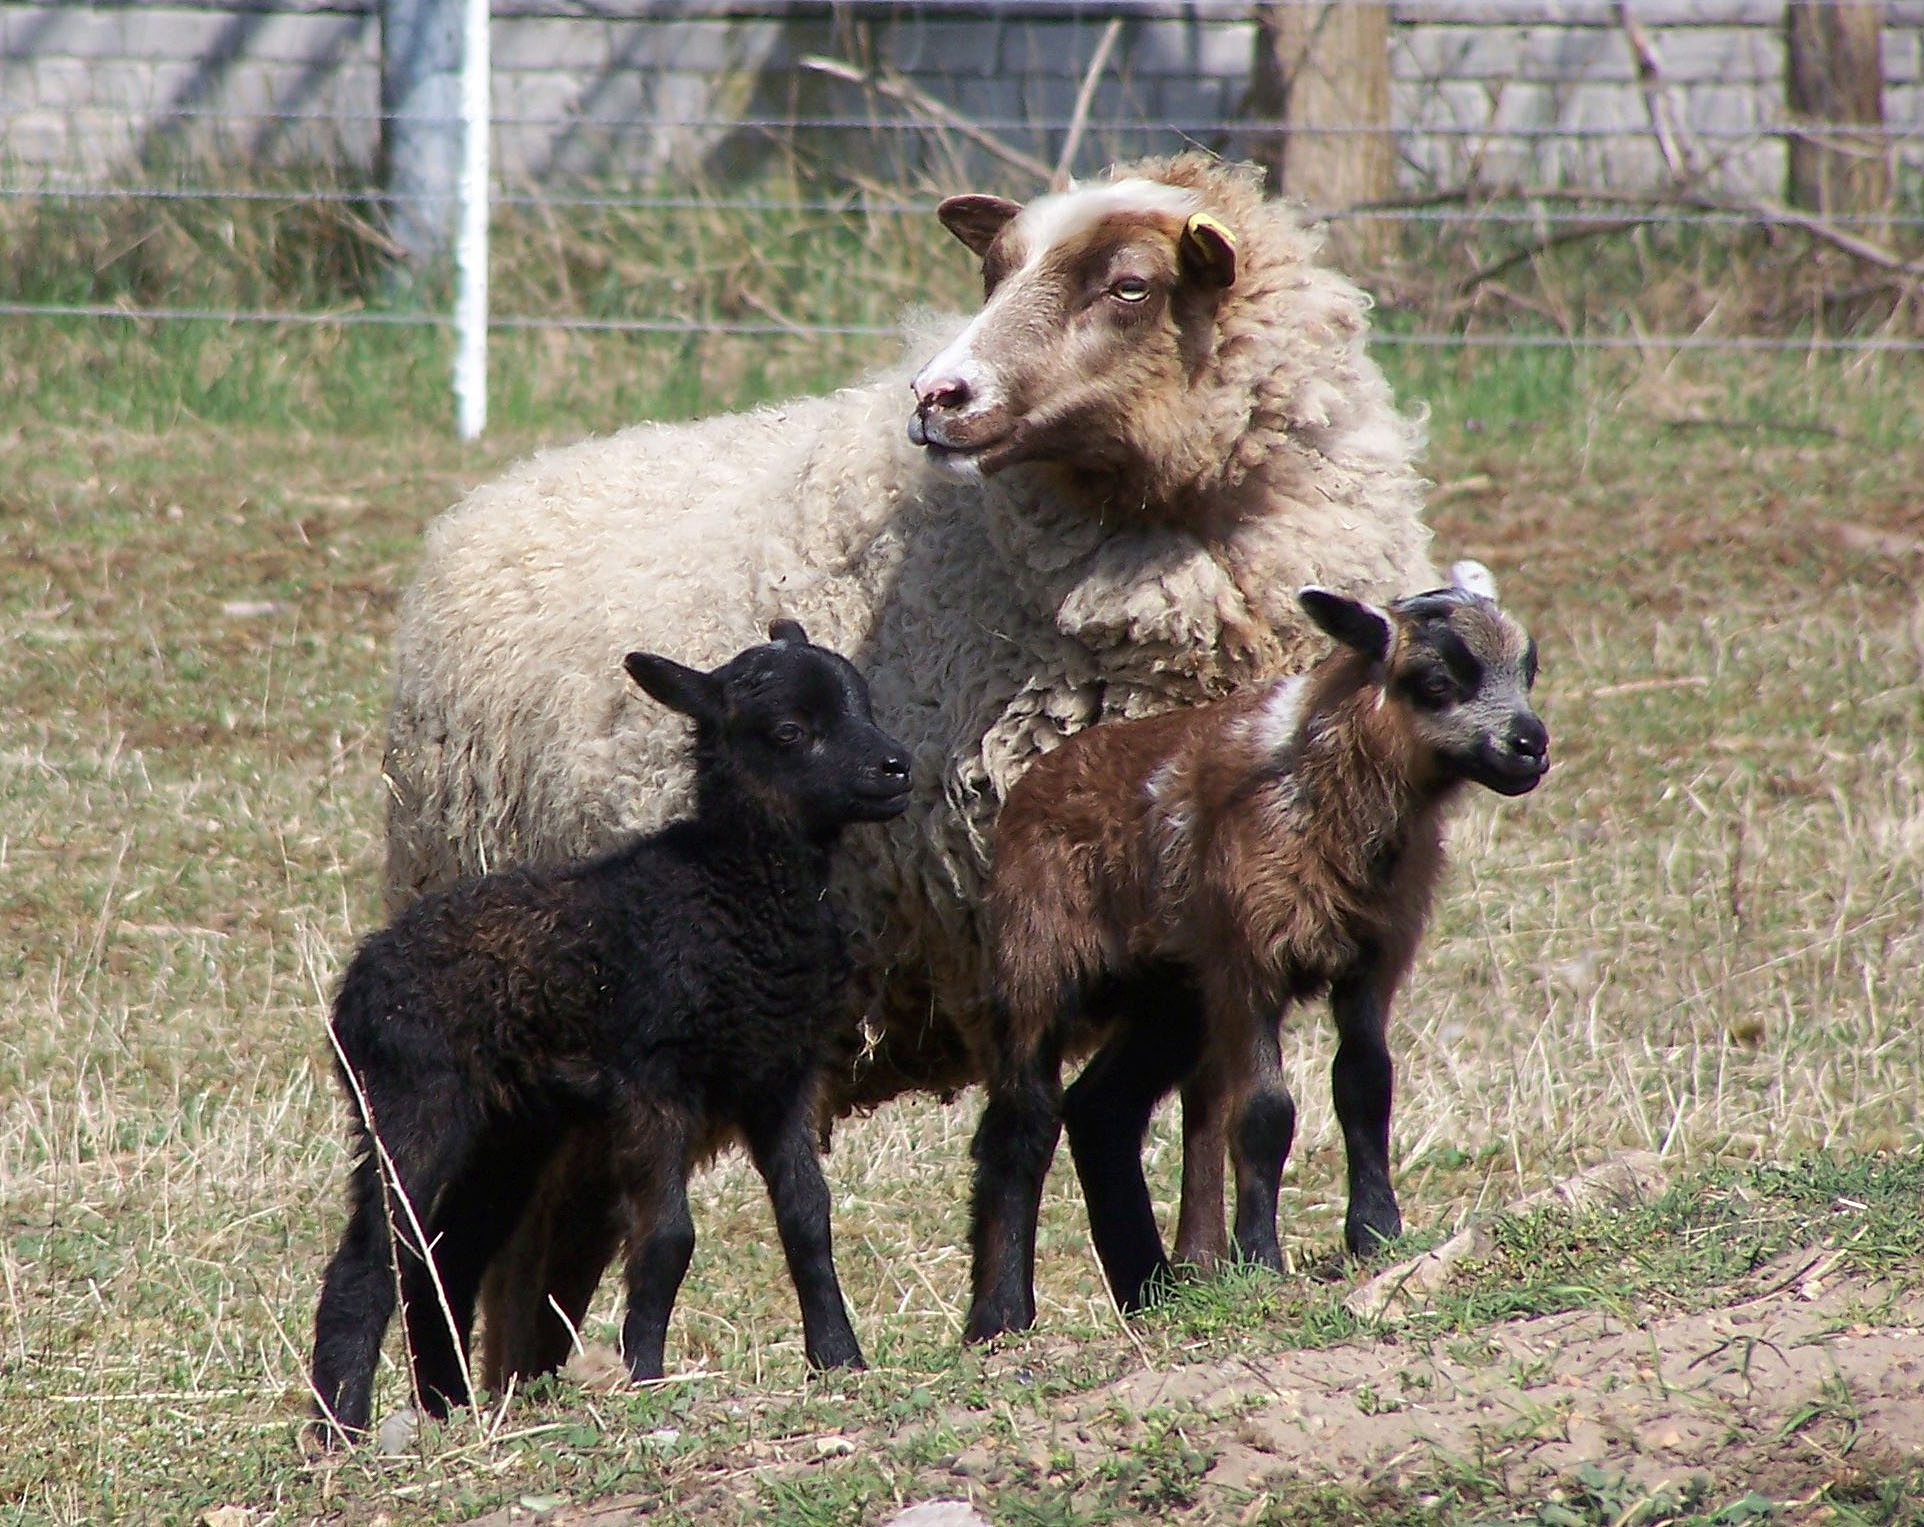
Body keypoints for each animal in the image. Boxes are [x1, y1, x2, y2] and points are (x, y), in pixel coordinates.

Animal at [311, 619, 911, 1438]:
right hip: (407, 1095)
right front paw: (645, 1374)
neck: (732, 893)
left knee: (448, 1256)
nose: (897, 766)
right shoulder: (652, 1077)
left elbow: (807, 1218)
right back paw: (341, 1427)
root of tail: (357, 979)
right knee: (374, 1255)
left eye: (866, 705)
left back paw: (451, 1406)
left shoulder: (781, 1073)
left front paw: (840, 1359)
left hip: (511, 1126)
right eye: (790, 731)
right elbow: (666, 1236)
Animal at [962, 557, 1546, 1330]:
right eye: (1436, 681)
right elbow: (1265, 1112)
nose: (1531, 746)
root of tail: (1038, 778)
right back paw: (1000, 1316)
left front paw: (1375, 1233)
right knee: (1021, 1124)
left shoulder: (1371, 961)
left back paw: (1152, 1289)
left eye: (1529, 670)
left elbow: (1365, 1085)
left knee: (1101, 1111)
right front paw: (1260, 1258)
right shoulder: (1249, 966)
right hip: (1037, 960)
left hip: (1172, 992)